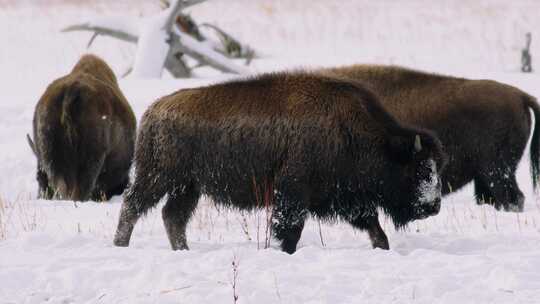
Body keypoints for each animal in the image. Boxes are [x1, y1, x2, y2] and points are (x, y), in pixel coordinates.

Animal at [113, 72, 448, 253]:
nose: (434, 206)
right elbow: (290, 229)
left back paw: (183, 250)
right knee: (133, 206)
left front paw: (382, 246)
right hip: (159, 177)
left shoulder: (350, 199)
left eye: (437, 168)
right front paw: (284, 251)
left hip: (189, 187)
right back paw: (121, 245)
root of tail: (154, 110)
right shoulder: (292, 194)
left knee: (173, 216)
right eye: (420, 169)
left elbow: (374, 226)